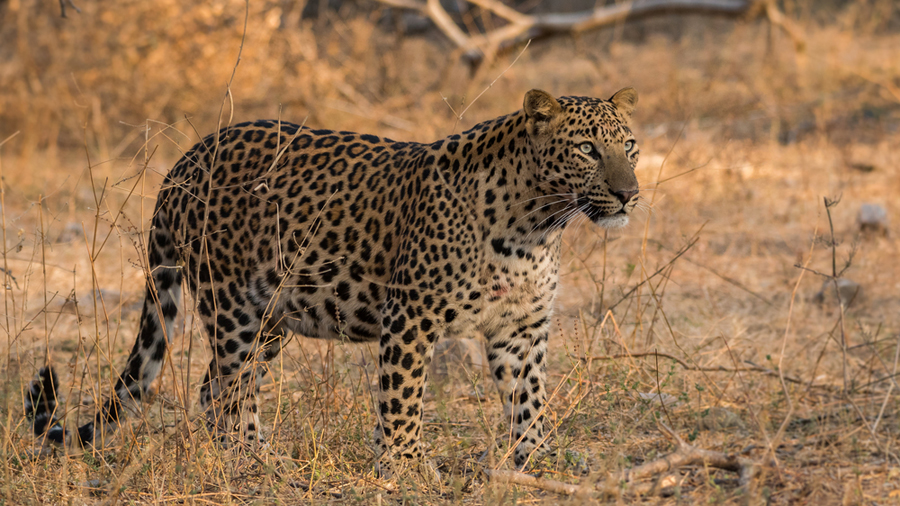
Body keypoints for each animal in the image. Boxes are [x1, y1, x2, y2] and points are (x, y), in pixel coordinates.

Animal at [26, 86, 640, 470]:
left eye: (629, 146)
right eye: (587, 148)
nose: (629, 194)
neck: (537, 225)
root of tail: (185, 161)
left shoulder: (522, 329)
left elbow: (529, 398)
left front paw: (537, 458)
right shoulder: (410, 318)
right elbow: (402, 397)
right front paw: (406, 468)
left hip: (272, 316)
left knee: (218, 388)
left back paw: (252, 454)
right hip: (233, 307)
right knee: (226, 388)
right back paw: (253, 460)